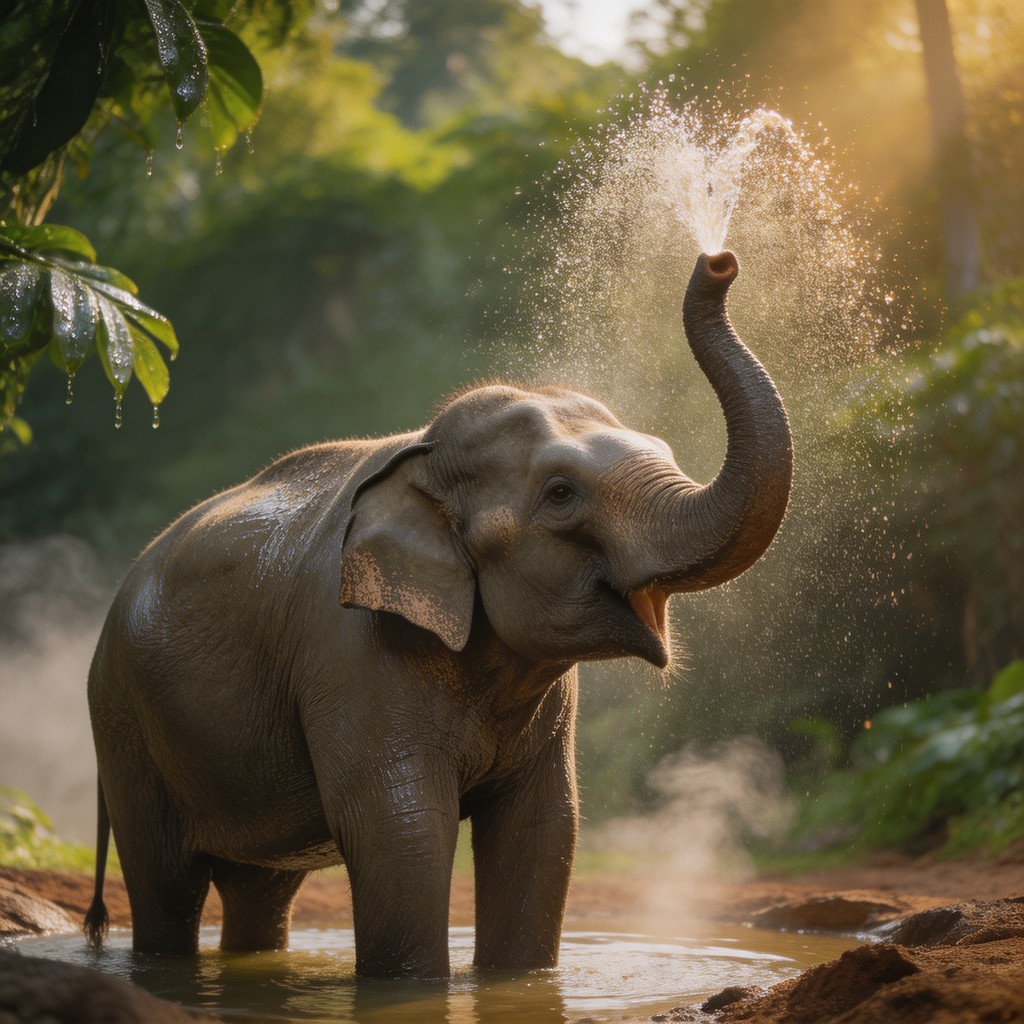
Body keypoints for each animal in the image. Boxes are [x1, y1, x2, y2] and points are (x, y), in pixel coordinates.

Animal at [84, 251, 792, 980]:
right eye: (561, 494)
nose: (719, 260)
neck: (421, 454)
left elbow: (542, 828)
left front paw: (519, 982)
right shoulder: (354, 652)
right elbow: (402, 829)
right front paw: (414, 989)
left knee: (260, 889)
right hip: (125, 723)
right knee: (166, 885)